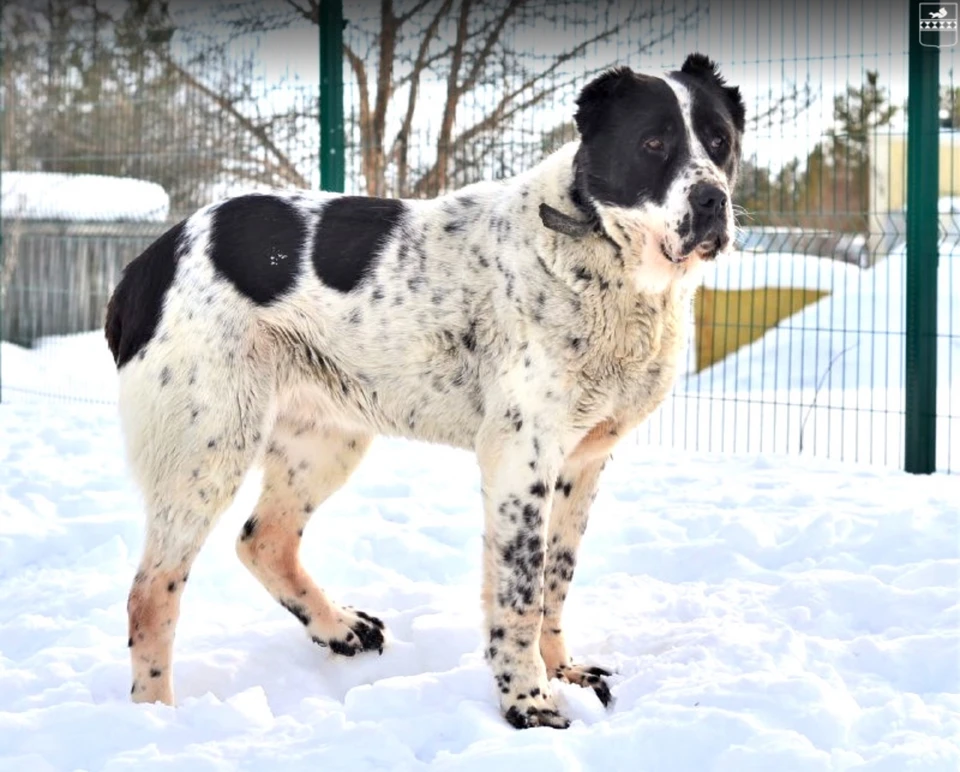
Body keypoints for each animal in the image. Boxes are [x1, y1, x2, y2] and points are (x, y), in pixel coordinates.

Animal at [109, 54, 748, 728]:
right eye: (653, 143)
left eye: (720, 142)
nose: (713, 200)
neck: (598, 249)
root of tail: (146, 262)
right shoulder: (521, 459)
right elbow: (520, 596)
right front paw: (529, 702)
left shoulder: (582, 463)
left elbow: (555, 582)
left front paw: (562, 672)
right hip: (206, 450)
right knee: (150, 593)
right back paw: (156, 715)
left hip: (325, 438)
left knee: (265, 540)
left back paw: (341, 629)